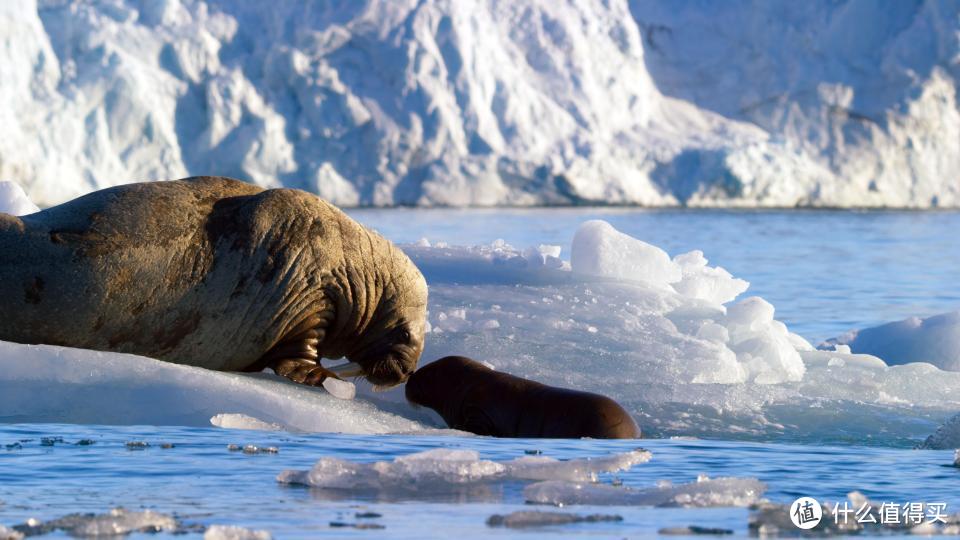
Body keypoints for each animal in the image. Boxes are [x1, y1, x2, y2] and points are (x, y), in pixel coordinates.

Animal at [0, 177, 428, 388]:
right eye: (407, 334)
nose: (407, 373)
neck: (355, 271)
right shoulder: (307, 296)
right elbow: (301, 355)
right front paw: (321, 376)